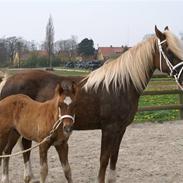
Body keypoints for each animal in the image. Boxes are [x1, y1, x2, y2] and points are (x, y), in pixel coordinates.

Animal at [0, 26, 183, 182]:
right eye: (169, 50)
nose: (181, 77)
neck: (119, 85)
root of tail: (8, 81)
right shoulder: (109, 128)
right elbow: (104, 159)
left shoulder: (120, 129)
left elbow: (114, 157)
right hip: (12, 129)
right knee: (8, 151)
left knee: (21, 148)